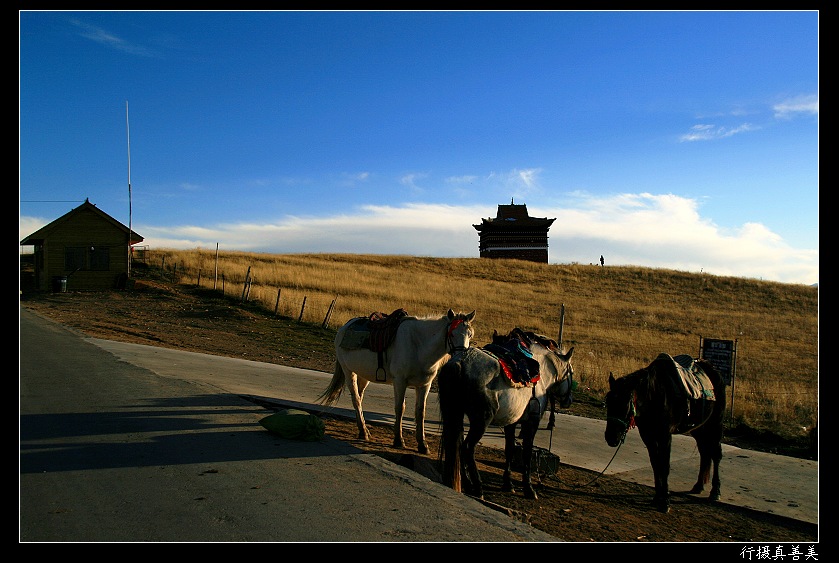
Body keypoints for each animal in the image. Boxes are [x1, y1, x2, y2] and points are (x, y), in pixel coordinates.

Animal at [318, 308, 476, 454]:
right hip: (349, 371)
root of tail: (345, 326)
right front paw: (398, 441)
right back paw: (363, 431)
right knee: (356, 399)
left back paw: (363, 430)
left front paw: (422, 445)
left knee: (360, 397)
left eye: (470, 334)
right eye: (452, 334)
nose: (462, 358)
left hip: (363, 375)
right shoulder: (400, 382)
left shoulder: (424, 385)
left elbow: (420, 412)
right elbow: (400, 408)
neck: (419, 346)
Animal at [604, 356, 728, 516]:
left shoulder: (665, 436)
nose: (611, 437)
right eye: (608, 402)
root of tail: (714, 372)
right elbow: (656, 464)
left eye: (625, 405)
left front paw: (665, 502)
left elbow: (664, 466)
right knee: (705, 454)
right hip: (699, 429)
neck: (654, 396)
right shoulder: (648, 436)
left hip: (715, 425)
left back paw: (715, 491)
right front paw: (657, 497)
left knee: (716, 455)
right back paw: (698, 485)